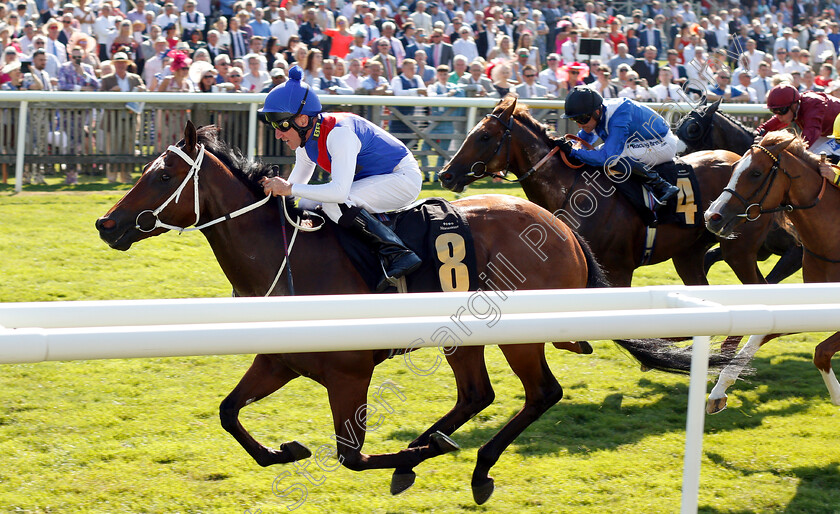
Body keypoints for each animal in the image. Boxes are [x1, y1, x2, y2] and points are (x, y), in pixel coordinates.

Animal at [95, 122, 720, 502]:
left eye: (162, 174)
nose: (106, 223)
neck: (287, 257)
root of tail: (561, 225)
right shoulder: (279, 359)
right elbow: (229, 413)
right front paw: (285, 449)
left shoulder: (349, 371)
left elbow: (350, 457)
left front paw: (419, 452)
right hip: (463, 338)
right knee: (477, 395)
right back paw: (430, 453)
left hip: (519, 335)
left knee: (541, 393)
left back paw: (473, 465)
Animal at [440, 94, 768, 286]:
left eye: (483, 136)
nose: (446, 174)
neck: (571, 192)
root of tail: (741, 158)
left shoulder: (619, 270)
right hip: (688, 253)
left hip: (738, 250)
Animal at [704, 131, 840, 412]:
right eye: (734, 167)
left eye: (756, 173)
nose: (712, 216)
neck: (833, 241)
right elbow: (762, 332)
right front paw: (718, 393)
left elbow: (821, 352)